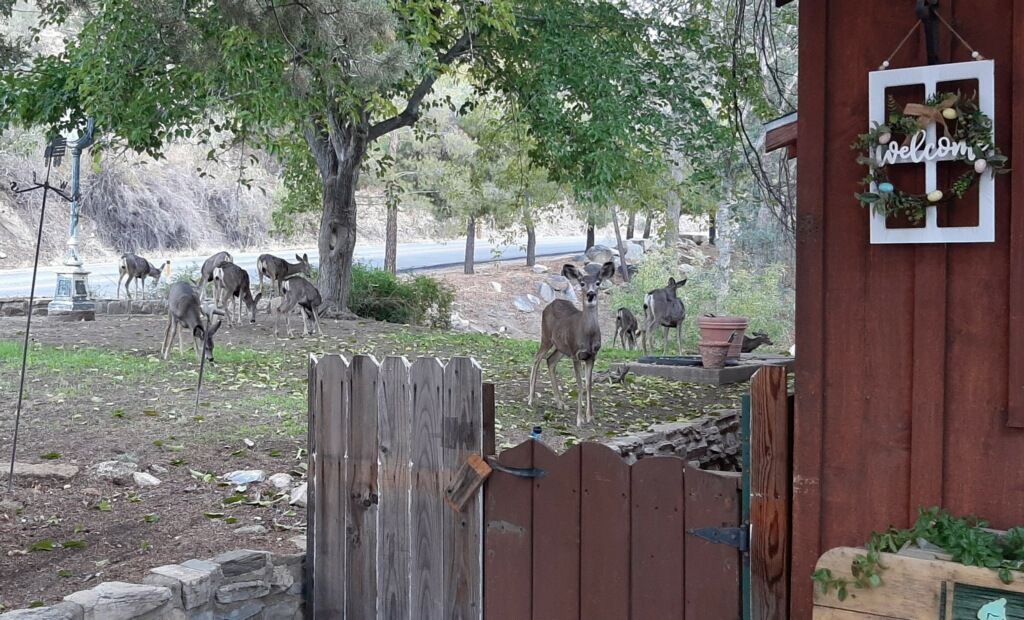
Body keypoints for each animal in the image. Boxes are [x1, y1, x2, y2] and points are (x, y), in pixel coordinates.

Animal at [528, 261, 615, 426]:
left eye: (598, 283)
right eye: (582, 283)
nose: (591, 294)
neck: (587, 335)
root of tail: (551, 303)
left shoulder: (592, 355)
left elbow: (588, 384)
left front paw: (590, 417)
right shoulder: (576, 354)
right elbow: (579, 384)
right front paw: (579, 419)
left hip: (561, 347)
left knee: (550, 361)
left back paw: (560, 403)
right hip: (546, 336)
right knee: (537, 358)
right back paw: (530, 399)